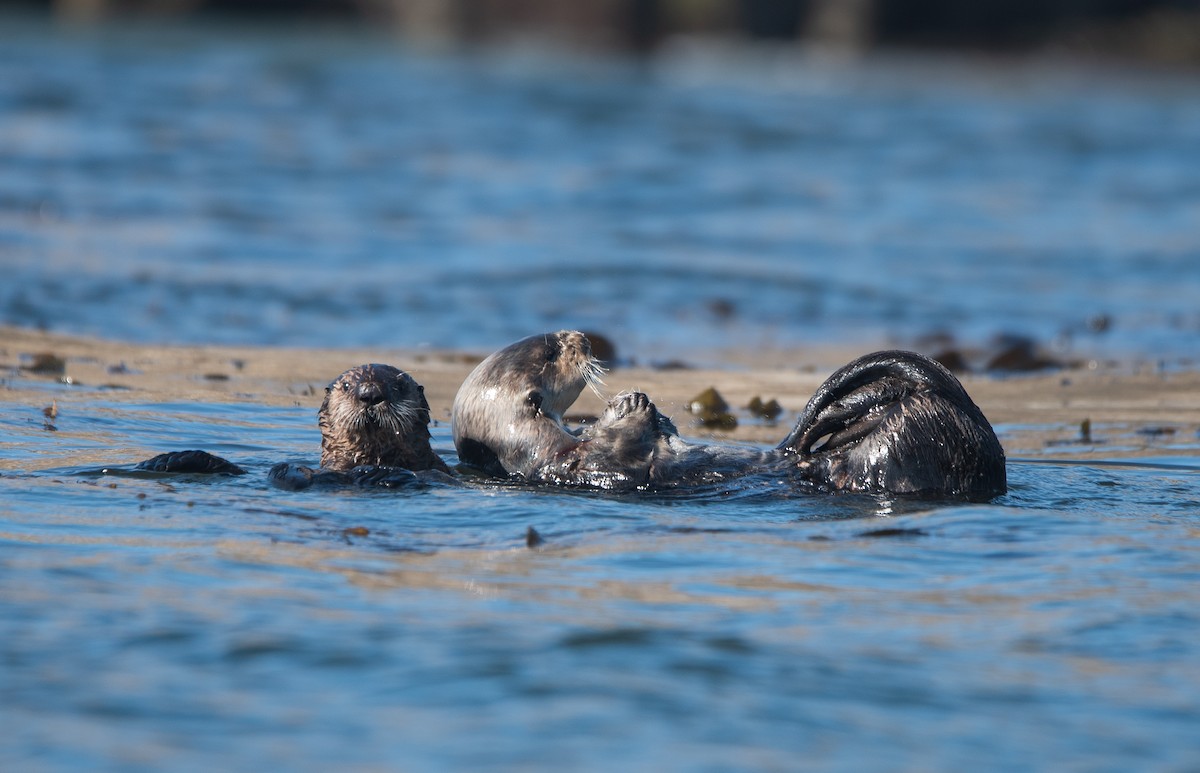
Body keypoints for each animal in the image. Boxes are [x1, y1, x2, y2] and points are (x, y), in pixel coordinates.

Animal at [451, 332, 1006, 501]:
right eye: (550, 352)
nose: (583, 338)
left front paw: (639, 401)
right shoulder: (588, 465)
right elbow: (633, 450)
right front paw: (633, 405)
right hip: (913, 440)